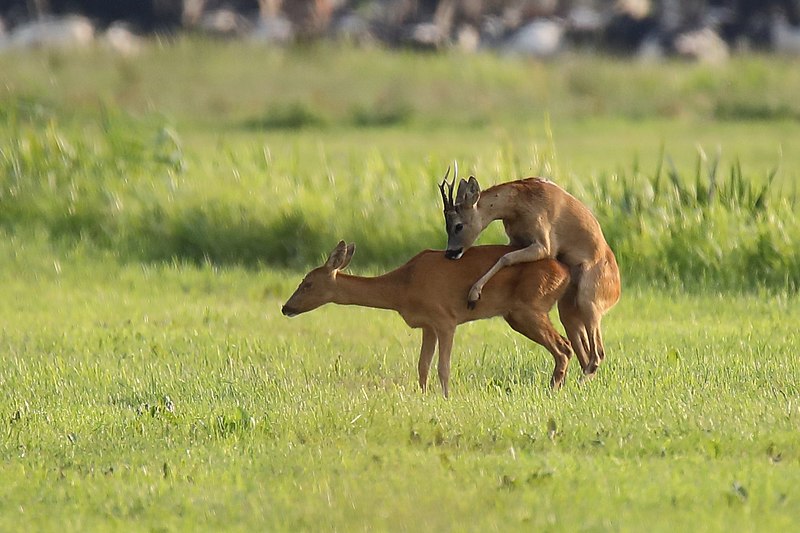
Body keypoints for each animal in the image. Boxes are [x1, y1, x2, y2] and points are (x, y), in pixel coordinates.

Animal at [282, 241, 576, 394]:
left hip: (527, 308)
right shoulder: (427, 325)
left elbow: (443, 367)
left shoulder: (445, 319)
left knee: (563, 347)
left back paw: (553, 390)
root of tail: (566, 272)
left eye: (307, 283)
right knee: (565, 346)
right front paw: (423, 396)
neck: (402, 287)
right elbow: (422, 365)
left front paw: (446, 398)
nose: (286, 307)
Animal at [438, 164, 620, 376]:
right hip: (567, 309)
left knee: (597, 354)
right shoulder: (515, 240)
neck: (519, 203)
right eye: (446, 225)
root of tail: (616, 291)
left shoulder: (543, 245)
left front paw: (473, 295)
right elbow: (503, 256)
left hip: (588, 301)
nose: (451, 253)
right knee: (585, 355)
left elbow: (505, 258)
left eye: (458, 225)